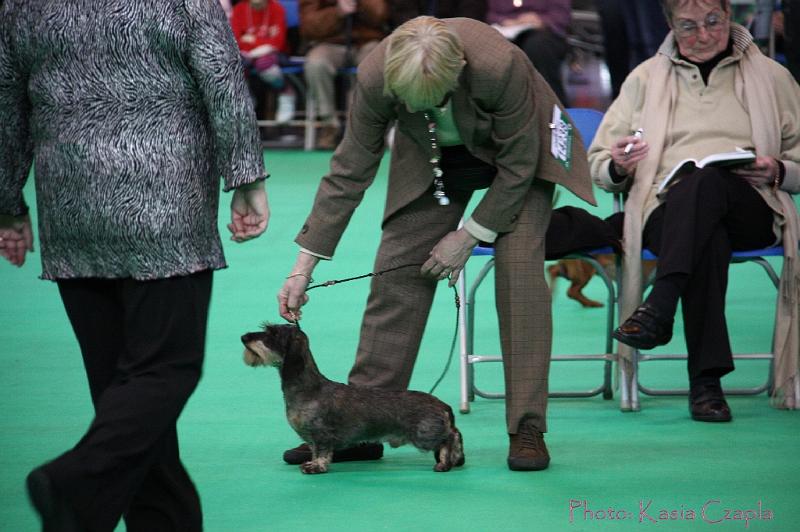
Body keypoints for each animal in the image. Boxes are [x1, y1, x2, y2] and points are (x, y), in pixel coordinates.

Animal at [241, 322, 466, 476]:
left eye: (272, 334)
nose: (244, 336)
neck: (308, 388)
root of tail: (442, 404)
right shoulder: (313, 438)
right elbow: (314, 451)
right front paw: (311, 463)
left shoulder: (321, 435)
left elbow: (322, 453)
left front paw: (317, 467)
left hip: (423, 435)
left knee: (451, 436)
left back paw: (447, 460)